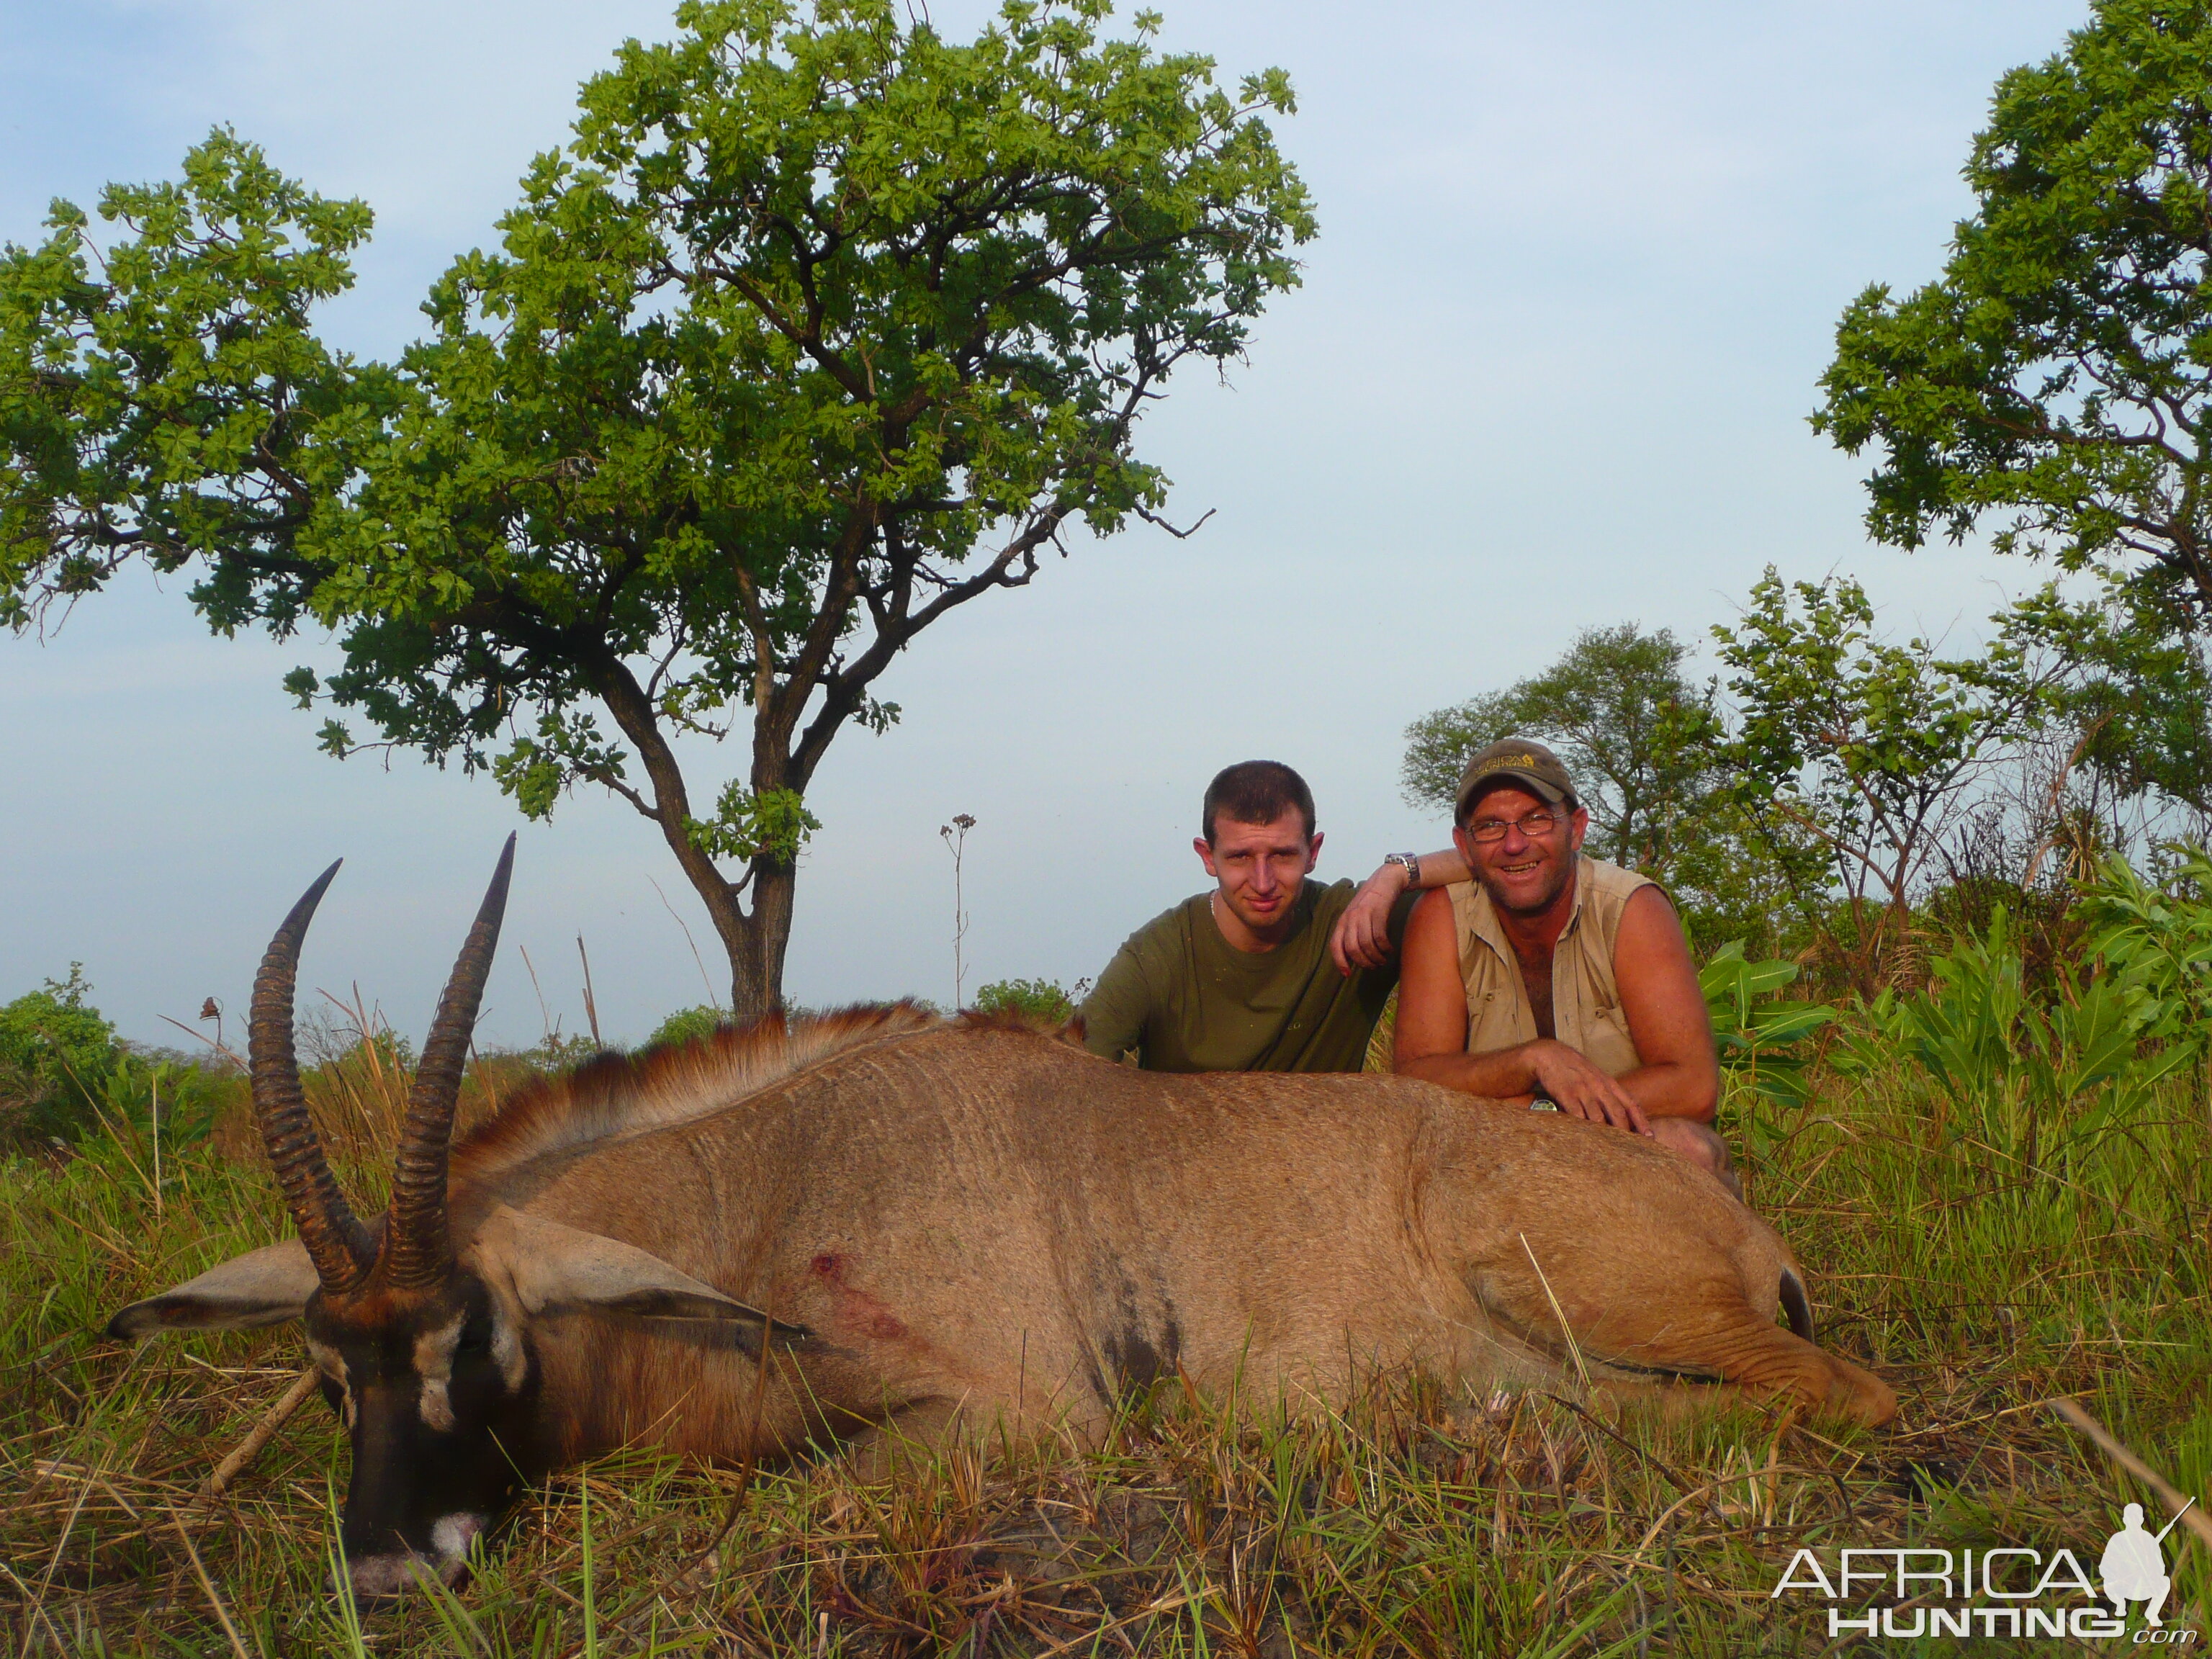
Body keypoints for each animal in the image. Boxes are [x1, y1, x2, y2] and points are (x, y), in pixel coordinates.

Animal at [107, 845, 1902, 1601]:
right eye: (328, 1376)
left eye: (473, 1342)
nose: (388, 1575)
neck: (761, 1204)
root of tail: (1743, 1230)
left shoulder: (1015, 1418)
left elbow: (782, 1501)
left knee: (1841, 1404)